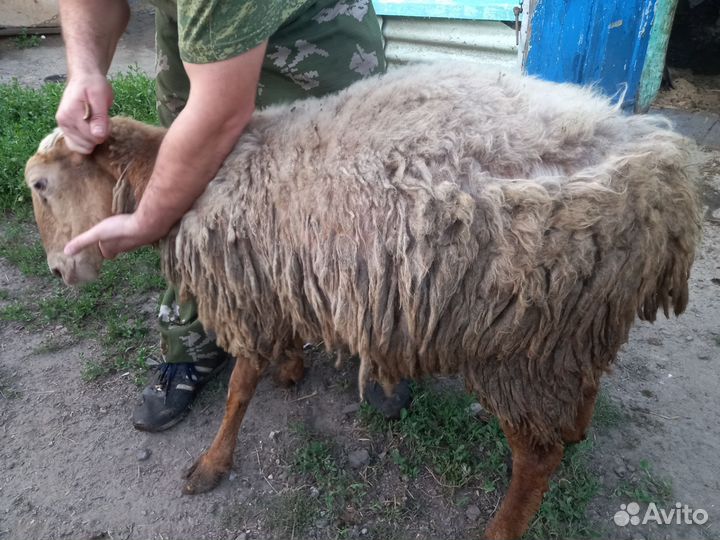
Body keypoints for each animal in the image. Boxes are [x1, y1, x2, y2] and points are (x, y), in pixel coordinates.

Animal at [25, 62, 702, 540]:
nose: (58, 269)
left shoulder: (248, 288)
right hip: (575, 325)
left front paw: (212, 463)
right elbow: (273, 352)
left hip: (521, 343)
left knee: (537, 458)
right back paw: (579, 427)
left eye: (38, 184)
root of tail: (660, 176)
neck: (188, 176)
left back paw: (501, 528)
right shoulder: (279, 276)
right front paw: (292, 368)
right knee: (583, 391)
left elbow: (241, 385)